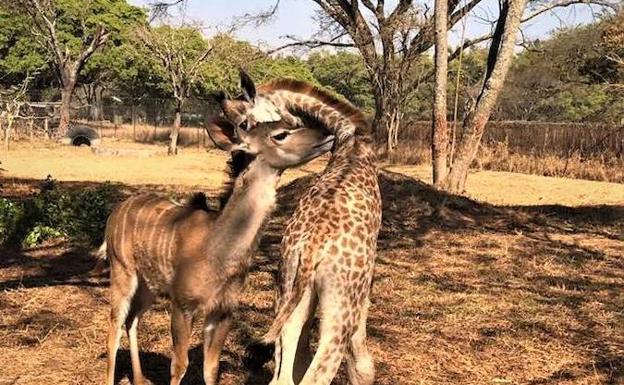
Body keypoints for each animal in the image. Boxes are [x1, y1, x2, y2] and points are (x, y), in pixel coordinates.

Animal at [104, 76, 334, 382]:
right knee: (115, 325)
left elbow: (211, 368)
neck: (217, 249)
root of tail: (115, 213)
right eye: (280, 134)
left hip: (148, 285)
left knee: (132, 320)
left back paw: (140, 380)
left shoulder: (222, 312)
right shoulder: (182, 305)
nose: (327, 135)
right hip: (122, 273)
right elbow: (179, 365)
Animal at [222, 74, 382, 384]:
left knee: (283, 375)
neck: (352, 140)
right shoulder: (363, 291)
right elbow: (361, 362)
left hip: (287, 289)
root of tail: (311, 250)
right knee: (318, 372)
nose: (237, 161)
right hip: (339, 310)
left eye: (244, 123)